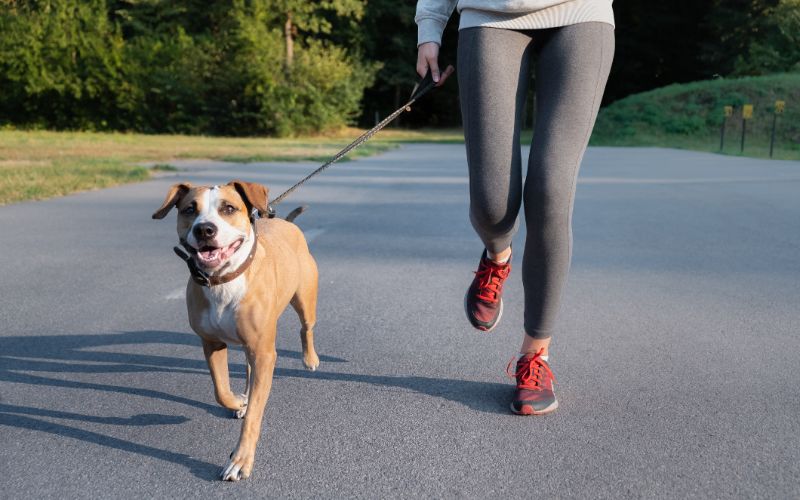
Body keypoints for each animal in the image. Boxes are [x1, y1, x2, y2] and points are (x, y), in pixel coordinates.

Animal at [153, 180, 318, 480]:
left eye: (228, 208)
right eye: (189, 209)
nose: (205, 229)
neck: (223, 280)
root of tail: (286, 224)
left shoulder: (264, 353)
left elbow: (254, 414)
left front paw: (241, 460)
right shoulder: (212, 344)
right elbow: (221, 390)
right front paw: (239, 402)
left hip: (304, 300)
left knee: (306, 328)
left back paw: (310, 359)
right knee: (249, 371)